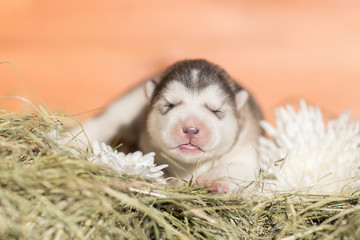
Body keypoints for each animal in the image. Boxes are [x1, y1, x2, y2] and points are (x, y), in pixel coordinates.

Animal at [76, 59, 262, 193]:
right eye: (170, 105)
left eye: (215, 110)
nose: (191, 129)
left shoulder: (245, 146)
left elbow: (237, 166)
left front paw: (216, 182)